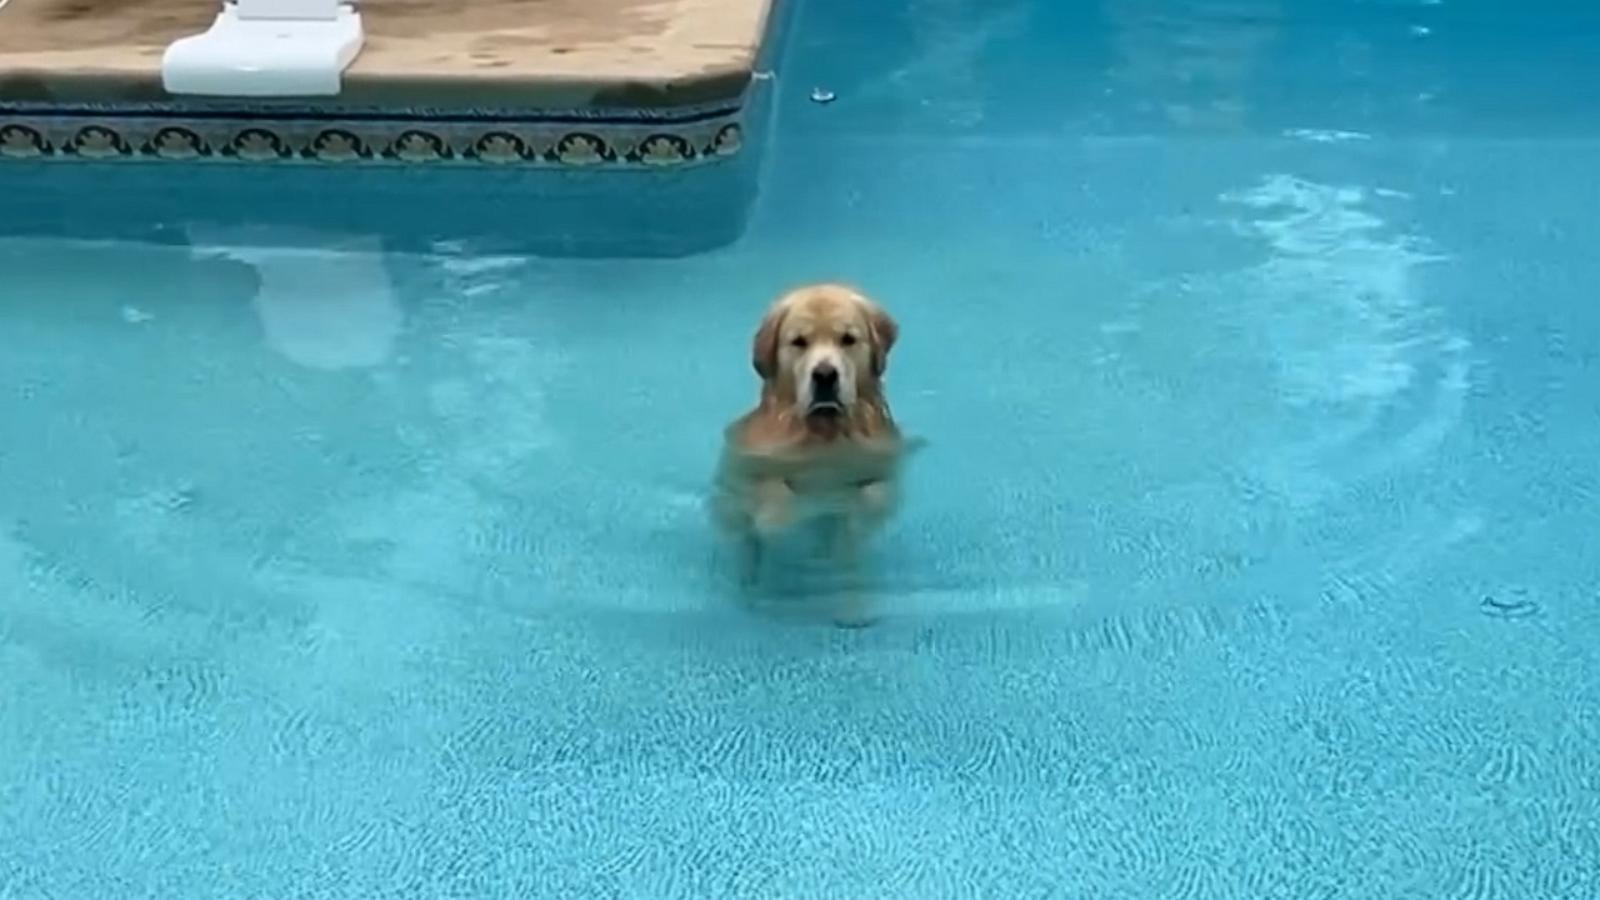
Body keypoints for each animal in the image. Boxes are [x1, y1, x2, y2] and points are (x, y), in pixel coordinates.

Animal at [710, 280, 921, 624]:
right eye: (799, 342)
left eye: (848, 339)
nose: (824, 375)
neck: (825, 434)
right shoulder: (756, 464)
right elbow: (775, 495)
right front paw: (779, 517)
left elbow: (872, 495)